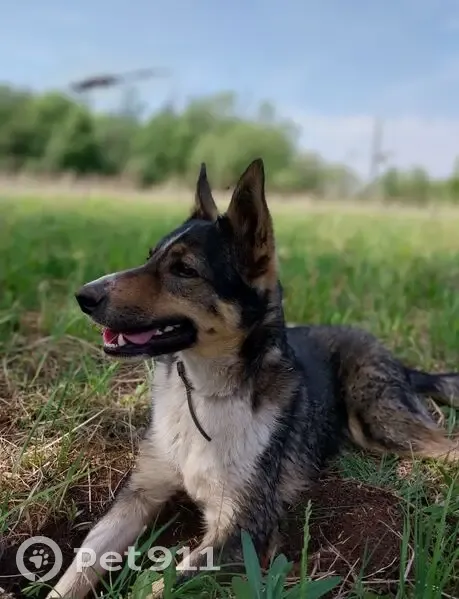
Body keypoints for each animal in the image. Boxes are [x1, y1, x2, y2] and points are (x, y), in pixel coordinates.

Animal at [46, 158, 459, 598]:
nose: (84, 297)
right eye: (149, 257)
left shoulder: (240, 529)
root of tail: (395, 358)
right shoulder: (138, 494)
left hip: (381, 420)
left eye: (184, 269)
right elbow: (81, 564)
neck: (205, 392)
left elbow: (161, 586)